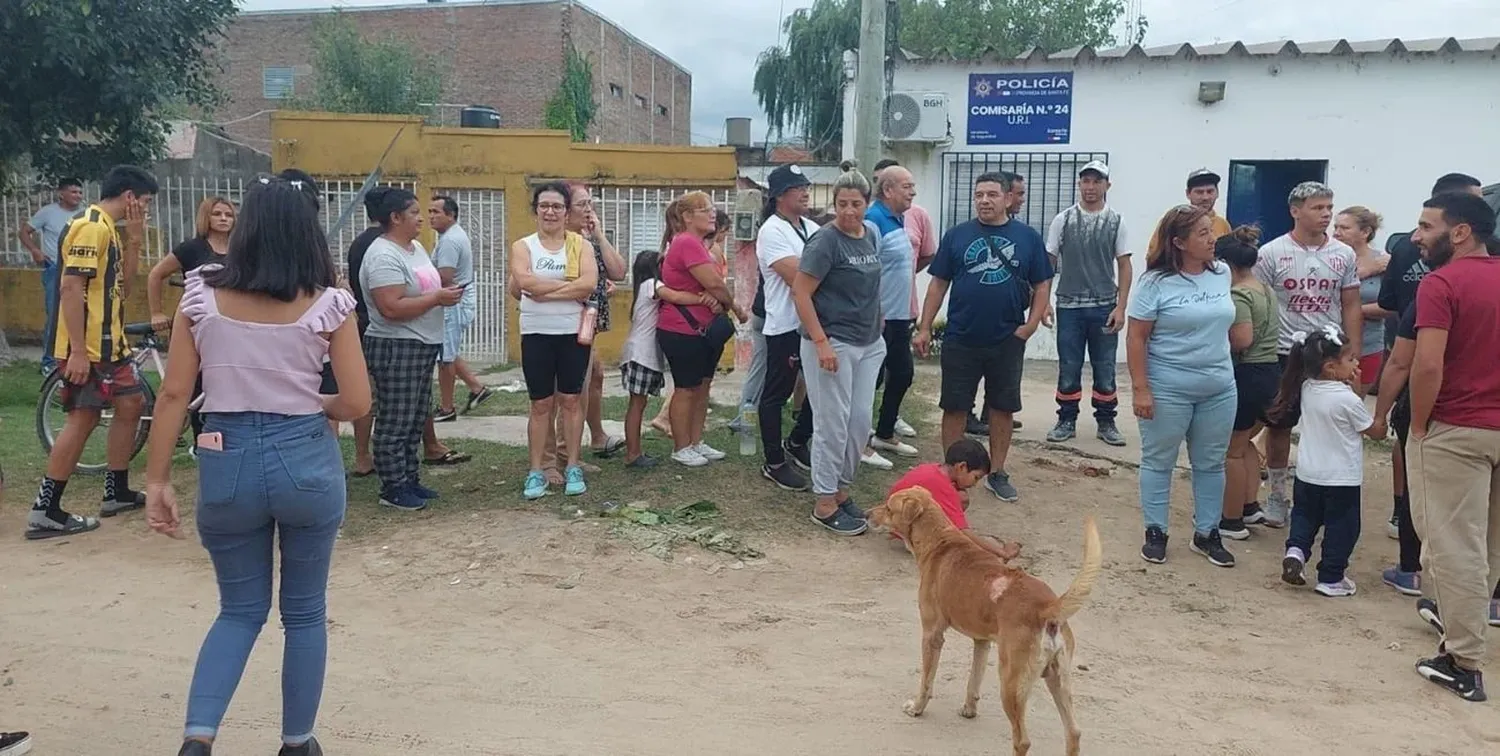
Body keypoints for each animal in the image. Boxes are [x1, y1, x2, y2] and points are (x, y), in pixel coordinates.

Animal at [870, 486, 1104, 753]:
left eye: (889, 507)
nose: (866, 514)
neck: (940, 539)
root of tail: (1047, 607)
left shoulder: (932, 635)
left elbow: (926, 682)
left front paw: (917, 708)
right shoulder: (982, 641)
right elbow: (974, 680)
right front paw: (969, 709)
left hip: (1011, 684)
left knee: (1022, 740)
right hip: (1059, 681)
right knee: (1074, 732)